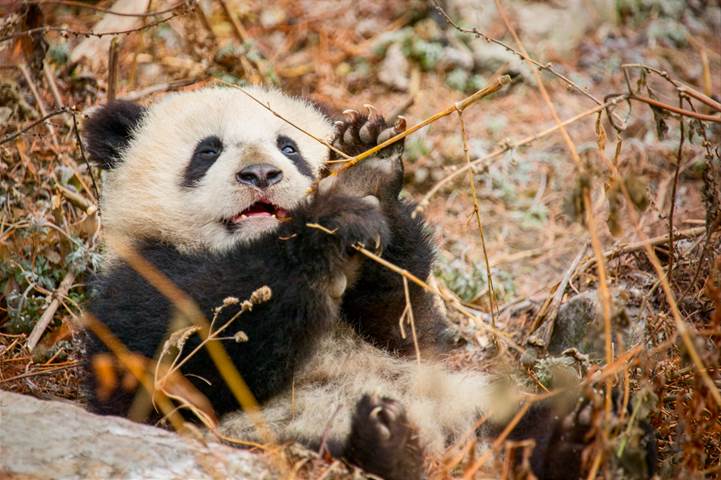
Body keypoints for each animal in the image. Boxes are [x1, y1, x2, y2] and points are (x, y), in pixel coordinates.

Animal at [81, 86, 650, 480]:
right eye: (207, 151)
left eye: (289, 146)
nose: (262, 175)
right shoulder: (137, 281)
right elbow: (192, 359)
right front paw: (329, 219)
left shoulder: (402, 337)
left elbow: (405, 328)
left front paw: (369, 167)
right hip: (274, 444)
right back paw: (387, 443)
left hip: (478, 404)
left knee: (532, 421)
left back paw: (583, 434)